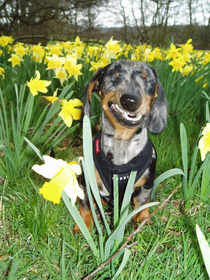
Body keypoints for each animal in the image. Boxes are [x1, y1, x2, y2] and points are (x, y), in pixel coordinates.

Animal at [74, 59, 167, 232]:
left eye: (147, 80)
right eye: (114, 77)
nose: (130, 101)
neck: (122, 143)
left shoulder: (146, 183)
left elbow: (142, 203)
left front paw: (142, 220)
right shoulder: (86, 180)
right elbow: (85, 203)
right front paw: (84, 224)